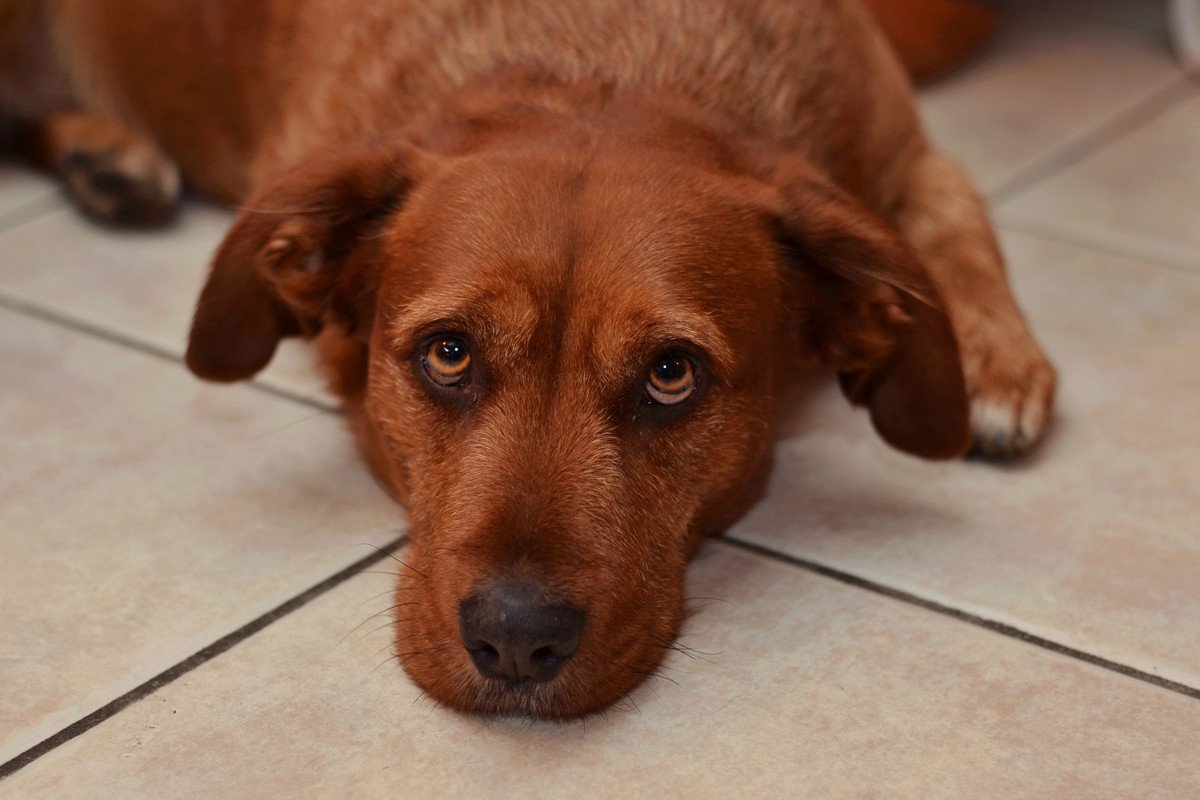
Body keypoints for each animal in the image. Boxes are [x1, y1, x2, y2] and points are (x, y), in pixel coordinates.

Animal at [2, 0, 1051, 714]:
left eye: (671, 374)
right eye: (448, 353)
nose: (514, 642)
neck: (599, 51)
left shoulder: (909, 153)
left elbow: (958, 230)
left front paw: (996, 360)